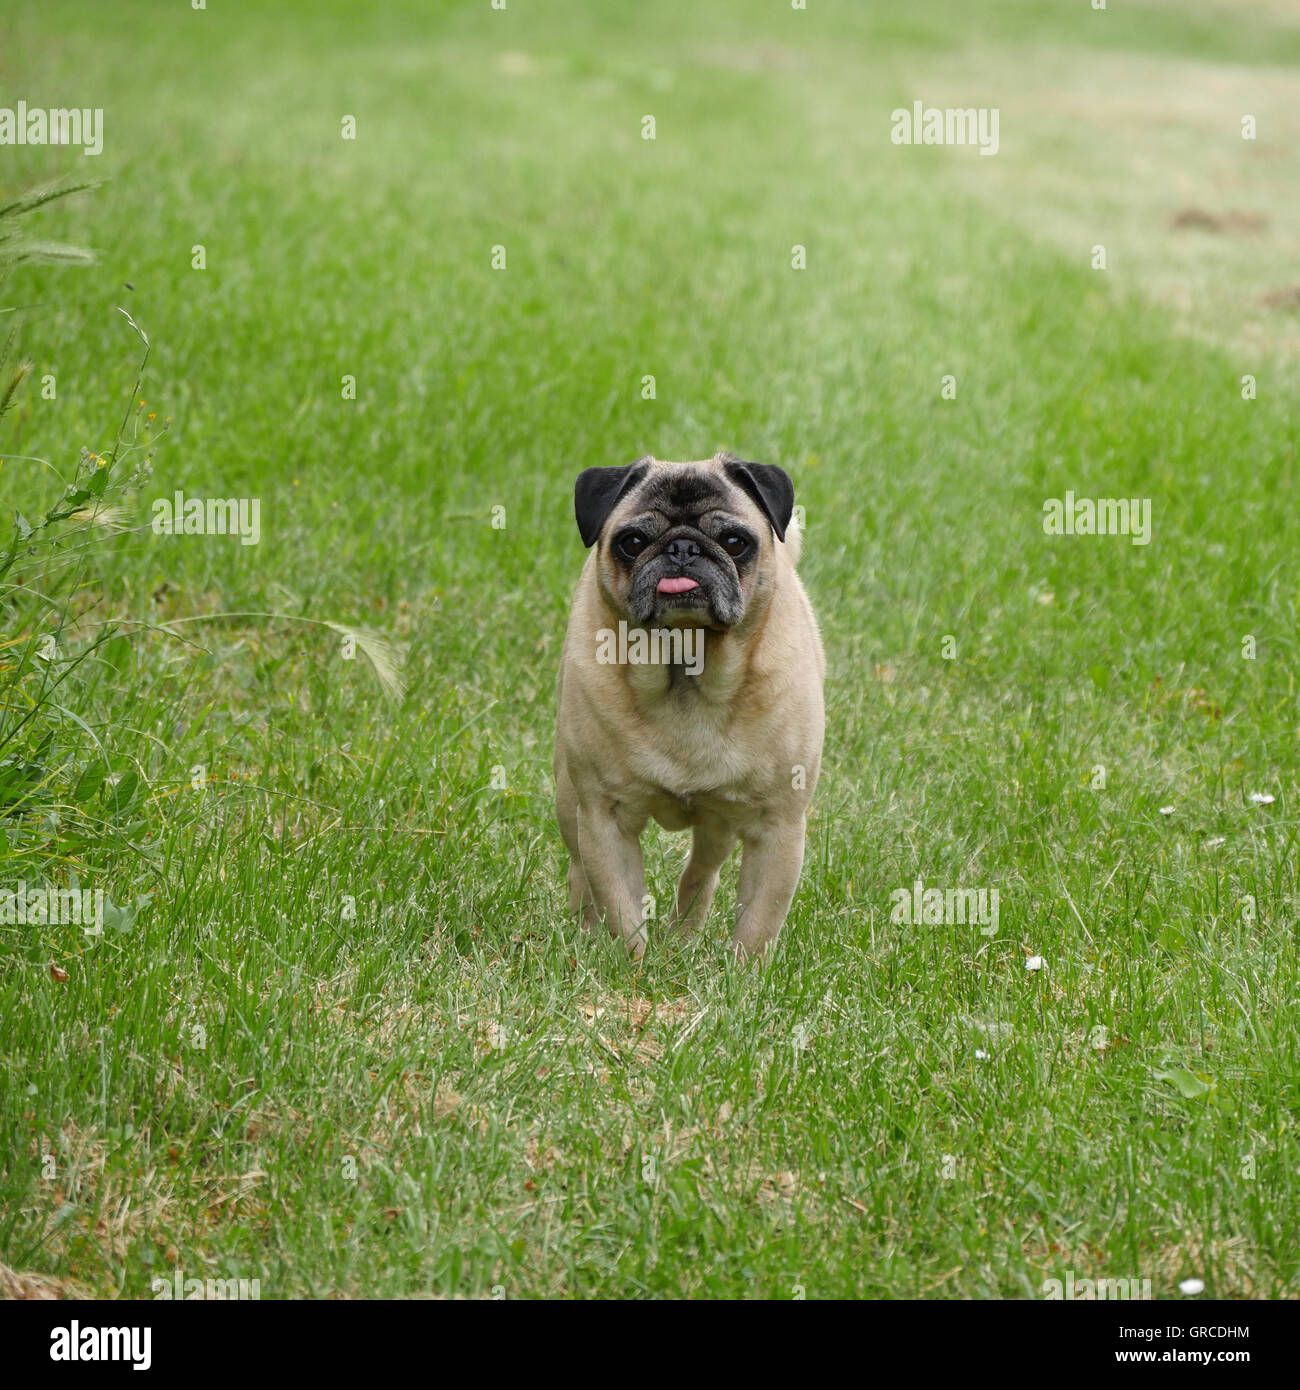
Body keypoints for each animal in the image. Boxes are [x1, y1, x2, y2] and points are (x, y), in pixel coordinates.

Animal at [556, 450, 823, 961]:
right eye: (633, 542)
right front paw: (634, 966)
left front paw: (743, 975)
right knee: (581, 870)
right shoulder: (604, 819)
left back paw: (684, 937)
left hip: (718, 824)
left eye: (735, 542)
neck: (686, 671)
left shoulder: (778, 827)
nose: (682, 548)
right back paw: (583, 929)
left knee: (702, 874)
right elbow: (622, 907)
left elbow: (758, 922)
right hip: (567, 799)